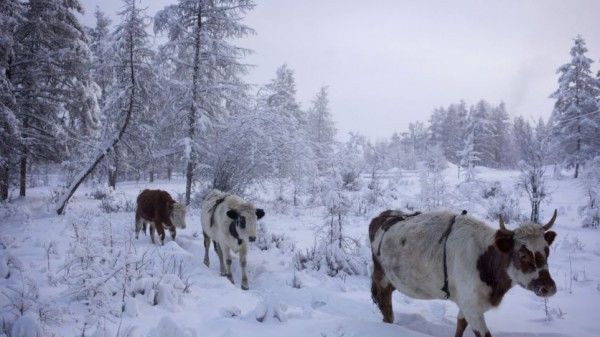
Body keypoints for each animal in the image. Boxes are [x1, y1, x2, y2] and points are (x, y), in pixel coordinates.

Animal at [368, 209, 560, 334]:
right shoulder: (472, 307)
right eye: (522, 254)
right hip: (381, 279)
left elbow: (460, 326)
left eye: (547, 251)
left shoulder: (468, 305)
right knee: (386, 307)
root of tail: (384, 216)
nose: (549, 288)